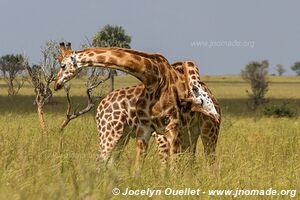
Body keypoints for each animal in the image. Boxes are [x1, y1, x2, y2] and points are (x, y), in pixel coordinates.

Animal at [55, 42, 220, 169]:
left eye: (62, 65)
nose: (56, 84)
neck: (154, 80)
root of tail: (99, 109)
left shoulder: (170, 129)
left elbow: (170, 166)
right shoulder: (147, 130)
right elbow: (141, 167)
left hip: (207, 130)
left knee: (209, 161)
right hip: (116, 133)